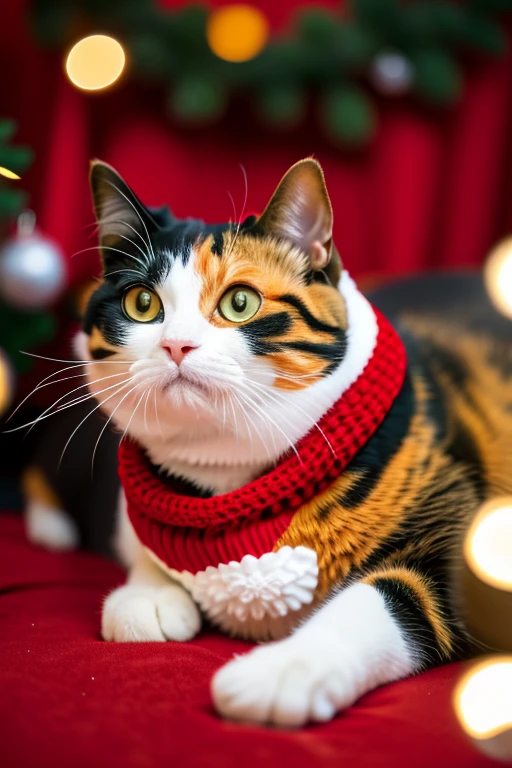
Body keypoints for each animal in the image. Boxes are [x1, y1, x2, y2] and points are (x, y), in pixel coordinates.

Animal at [78, 158, 512, 728]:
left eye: (240, 302)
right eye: (142, 303)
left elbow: (375, 603)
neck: (225, 485)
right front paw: (146, 594)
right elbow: (140, 546)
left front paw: (283, 671)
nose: (176, 345)